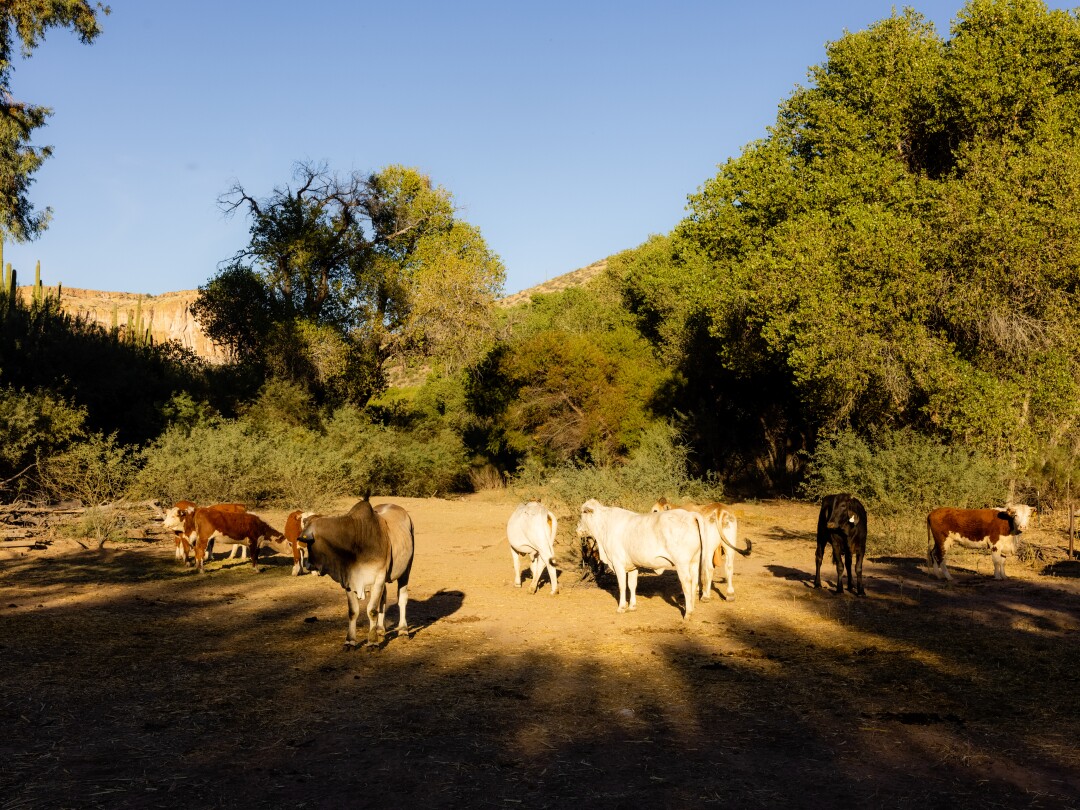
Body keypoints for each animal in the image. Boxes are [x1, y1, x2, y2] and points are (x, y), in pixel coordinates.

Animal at [298, 498, 414, 652]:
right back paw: (380, 629)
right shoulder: (349, 581)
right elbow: (353, 611)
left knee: (402, 598)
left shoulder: (378, 578)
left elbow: (372, 610)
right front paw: (350, 641)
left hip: (406, 570)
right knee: (382, 601)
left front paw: (372, 642)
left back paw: (403, 630)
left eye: (309, 543)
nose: (308, 565)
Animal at [574, 494, 708, 622]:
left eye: (583, 512)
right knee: (694, 581)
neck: (604, 526)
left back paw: (688, 613)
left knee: (687, 583)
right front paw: (632, 606)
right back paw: (692, 608)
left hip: (682, 563)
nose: (577, 530)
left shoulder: (618, 563)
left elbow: (622, 586)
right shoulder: (633, 566)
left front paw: (621, 607)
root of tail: (690, 515)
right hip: (694, 561)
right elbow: (632, 585)